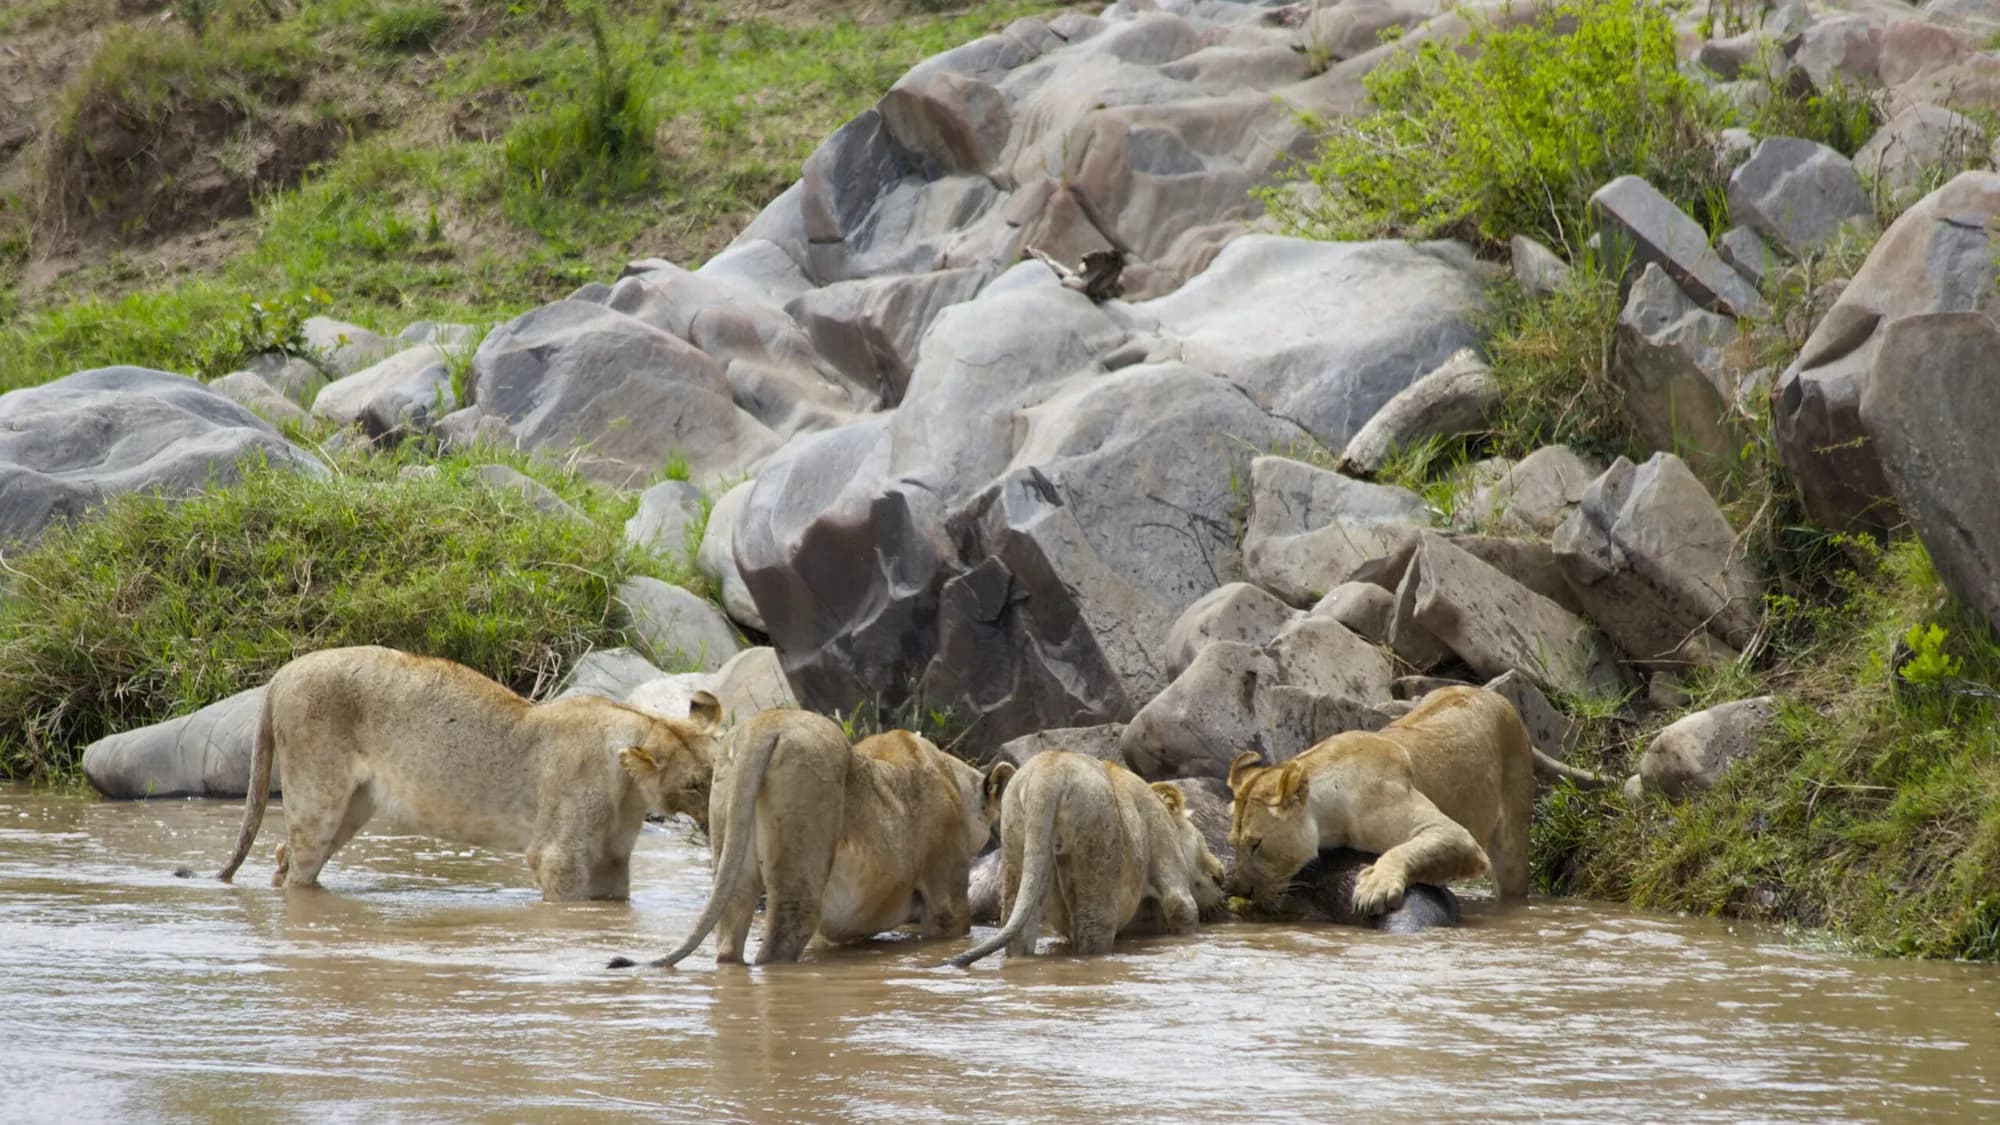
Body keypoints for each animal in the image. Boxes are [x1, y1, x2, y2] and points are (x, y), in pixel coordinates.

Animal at [213, 645, 722, 901]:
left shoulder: (613, 860)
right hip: (317, 794)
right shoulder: (558, 856)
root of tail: (281, 674)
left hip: (352, 805)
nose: (717, 819)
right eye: (694, 785)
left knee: (285, 854)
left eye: (717, 773)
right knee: (297, 863)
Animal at [614, 714, 1014, 967]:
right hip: (803, 850)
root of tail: (767, 724)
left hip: (732, 850)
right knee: (781, 939)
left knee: (729, 937)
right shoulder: (947, 901)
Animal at [948, 752, 1227, 967]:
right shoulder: (1165, 850)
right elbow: (1182, 907)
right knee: (1093, 934)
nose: (1221, 876)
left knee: (1018, 930)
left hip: (1017, 844)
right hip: (1096, 848)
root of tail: (1048, 771)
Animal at [1227, 684, 1537, 916]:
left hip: (1512, 843)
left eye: (1256, 844)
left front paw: (1376, 886)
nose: (1240, 891)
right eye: (1233, 844)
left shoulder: (1455, 834)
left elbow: (1404, 850)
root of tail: (1487, 691)